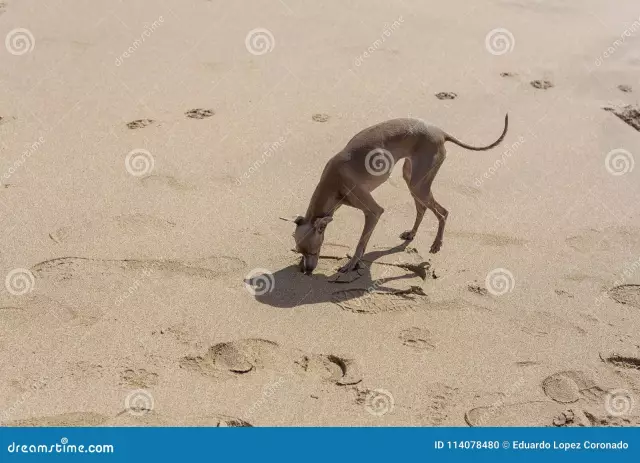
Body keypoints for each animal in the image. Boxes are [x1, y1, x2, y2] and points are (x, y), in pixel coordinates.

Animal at [284, 115, 510, 276]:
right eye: (300, 251)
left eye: (314, 251)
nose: (306, 271)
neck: (333, 182)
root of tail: (440, 132)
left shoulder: (373, 212)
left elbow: (361, 243)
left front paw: (351, 265)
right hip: (411, 179)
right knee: (422, 208)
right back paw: (412, 234)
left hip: (419, 184)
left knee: (443, 212)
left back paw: (436, 244)